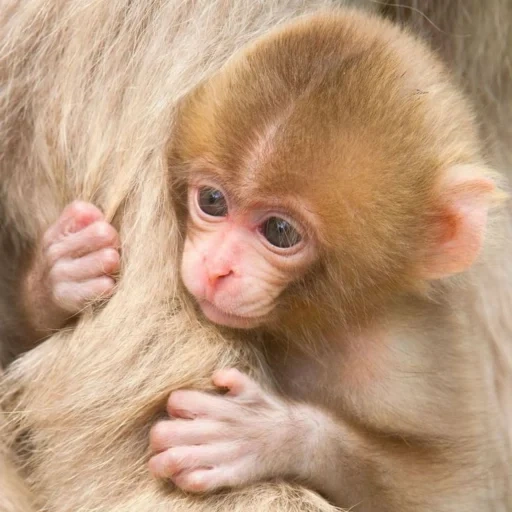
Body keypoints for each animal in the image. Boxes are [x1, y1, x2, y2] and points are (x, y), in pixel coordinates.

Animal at [0, 1, 510, 512]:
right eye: (212, 201)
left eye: (279, 232)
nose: (215, 268)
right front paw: (62, 275)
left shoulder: (396, 364)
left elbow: (448, 492)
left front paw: (268, 436)